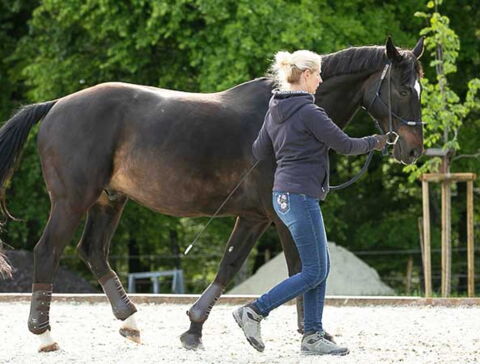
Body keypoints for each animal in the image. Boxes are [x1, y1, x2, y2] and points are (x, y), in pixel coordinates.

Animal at [0, 36, 422, 350]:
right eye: (403, 88)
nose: (413, 150)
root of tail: (57, 104)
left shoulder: (254, 217)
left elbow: (229, 265)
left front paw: (193, 329)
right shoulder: (281, 216)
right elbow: (301, 269)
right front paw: (310, 335)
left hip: (109, 201)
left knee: (93, 251)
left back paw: (131, 321)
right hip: (71, 202)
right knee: (48, 252)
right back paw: (44, 335)